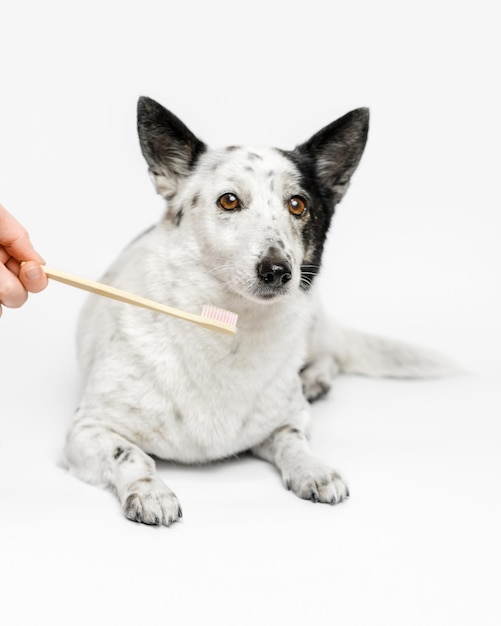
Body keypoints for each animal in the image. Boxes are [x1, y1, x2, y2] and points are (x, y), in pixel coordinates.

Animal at [63, 97, 454, 524]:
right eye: (229, 200)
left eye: (298, 204)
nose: (277, 271)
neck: (232, 328)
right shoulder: (87, 430)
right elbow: (132, 455)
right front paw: (151, 491)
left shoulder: (289, 420)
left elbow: (293, 441)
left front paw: (313, 469)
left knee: (329, 355)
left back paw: (314, 379)